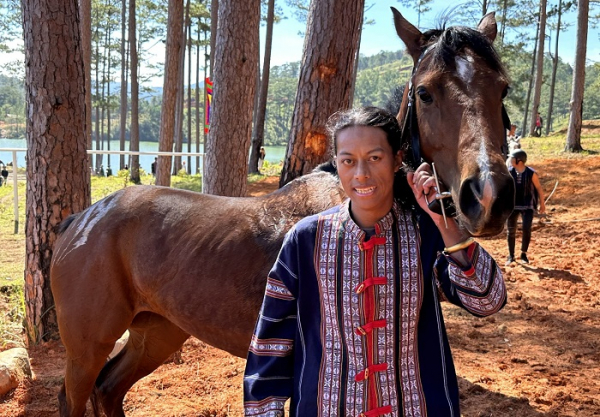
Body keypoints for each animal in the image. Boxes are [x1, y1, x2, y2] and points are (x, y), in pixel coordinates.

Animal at [50, 9, 516, 416]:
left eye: (503, 89)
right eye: (425, 92)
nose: (488, 196)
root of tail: (82, 221)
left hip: (157, 331)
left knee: (109, 390)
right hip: (87, 348)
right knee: (76, 396)